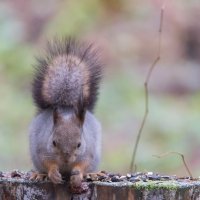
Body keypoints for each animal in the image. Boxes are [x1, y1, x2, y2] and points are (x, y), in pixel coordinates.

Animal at [28, 37, 102, 188]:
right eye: (54, 142)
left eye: (79, 144)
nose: (66, 158)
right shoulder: (41, 148)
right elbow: (47, 162)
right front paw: (53, 174)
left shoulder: (89, 151)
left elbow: (83, 164)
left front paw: (77, 176)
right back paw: (40, 174)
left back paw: (92, 174)